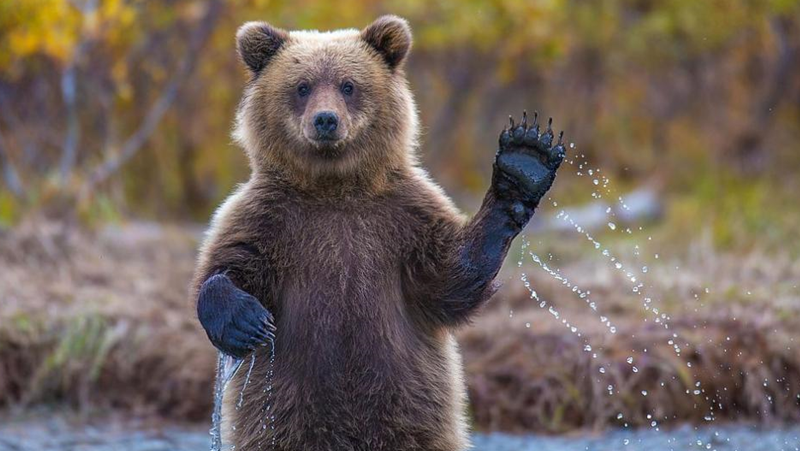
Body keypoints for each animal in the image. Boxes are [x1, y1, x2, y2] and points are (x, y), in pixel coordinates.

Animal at [194, 15, 564, 451]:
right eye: (302, 86)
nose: (325, 120)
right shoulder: (269, 218)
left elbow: (449, 279)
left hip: (412, 411)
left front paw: (524, 163)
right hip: (282, 415)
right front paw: (245, 321)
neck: (334, 187)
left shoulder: (403, 218)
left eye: (348, 85)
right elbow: (229, 264)